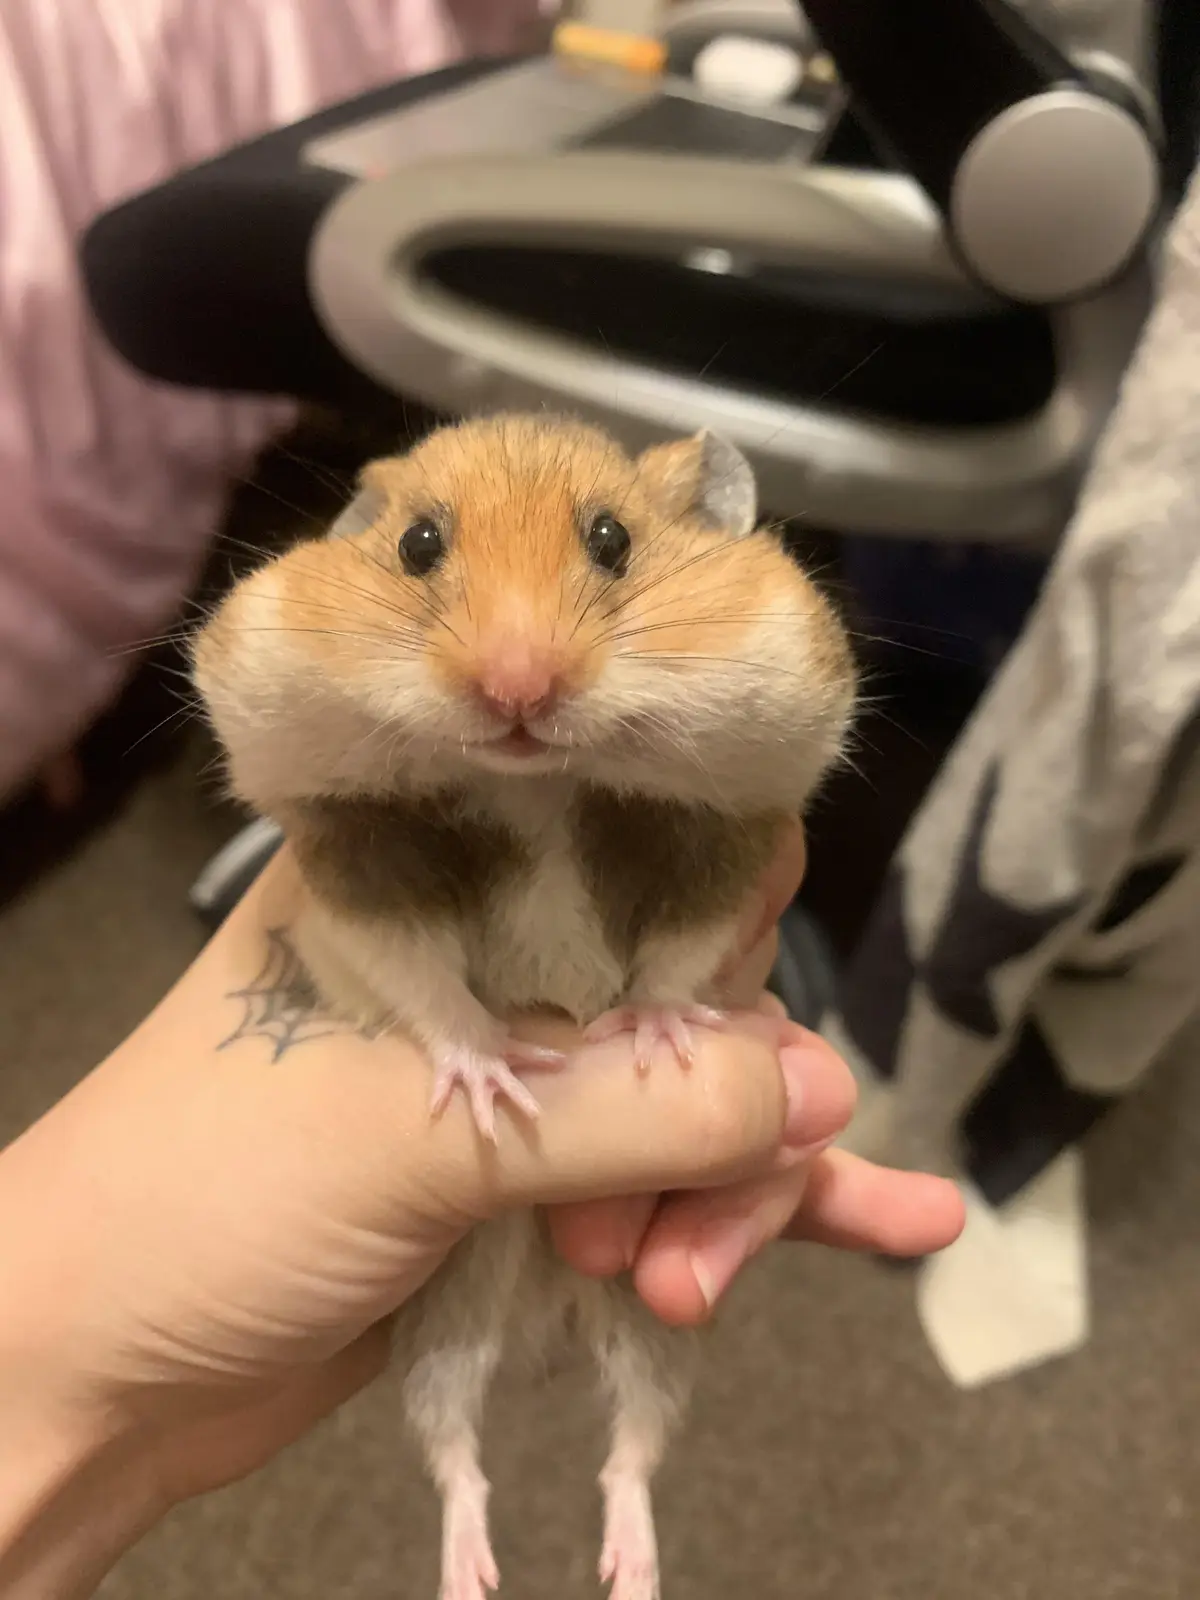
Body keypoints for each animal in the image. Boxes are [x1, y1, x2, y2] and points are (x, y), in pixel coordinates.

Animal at [192, 413, 856, 1600]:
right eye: (416, 544)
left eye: (612, 539)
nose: (517, 689)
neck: (534, 780)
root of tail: (550, 1317)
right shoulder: (356, 869)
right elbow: (426, 983)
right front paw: (499, 1078)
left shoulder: (724, 851)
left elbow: (679, 962)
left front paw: (658, 1044)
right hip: (444, 1317)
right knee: (459, 1454)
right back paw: (471, 1574)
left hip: (651, 1316)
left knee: (628, 1454)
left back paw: (630, 1572)